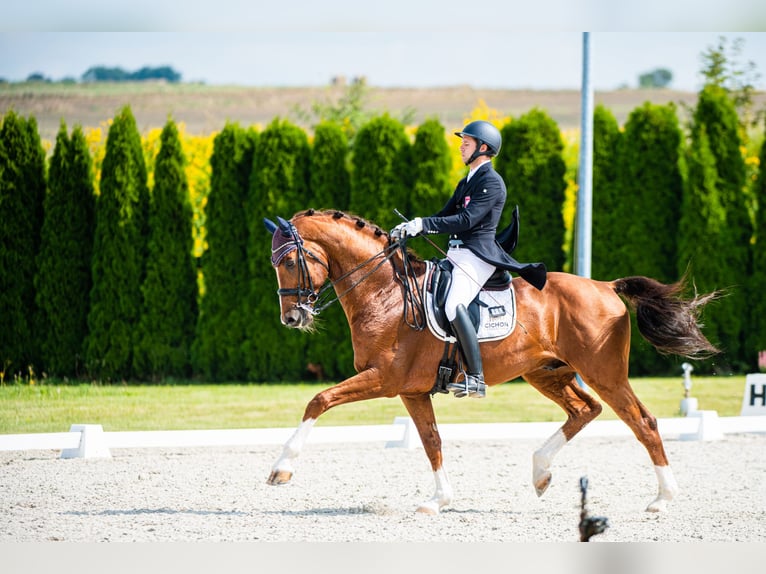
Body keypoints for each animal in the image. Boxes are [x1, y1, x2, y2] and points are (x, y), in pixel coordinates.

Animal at [264, 209, 720, 516]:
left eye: (289, 261)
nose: (292, 318)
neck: (385, 294)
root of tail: (605, 286)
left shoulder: (384, 379)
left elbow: (319, 400)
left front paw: (281, 470)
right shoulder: (411, 390)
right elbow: (432, 441)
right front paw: (438, 500)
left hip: (603, 372)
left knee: (642, 422)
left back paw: (662, 499)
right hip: (546, 373)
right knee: (584, 410)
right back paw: (540, 473)